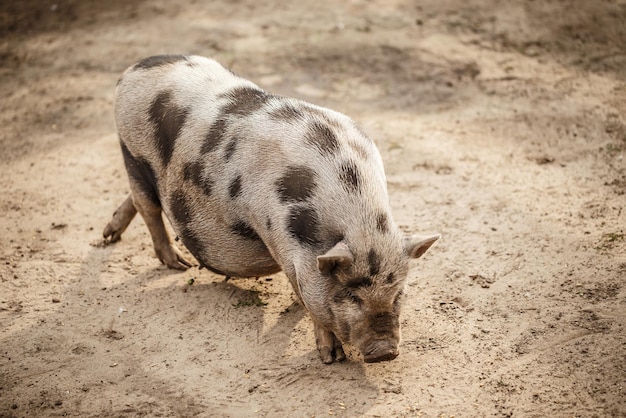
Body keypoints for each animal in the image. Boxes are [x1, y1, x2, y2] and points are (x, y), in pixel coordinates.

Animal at [103, 54, 438, 362]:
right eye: (350, 295)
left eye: (398, 293)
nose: (384, 351)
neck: (361, 224)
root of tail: (134, 68)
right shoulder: (279, 240)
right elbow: (304, 294)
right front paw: (331, 358)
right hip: (131, 152)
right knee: (147, 206)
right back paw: (177, 263)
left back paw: (110, 236)